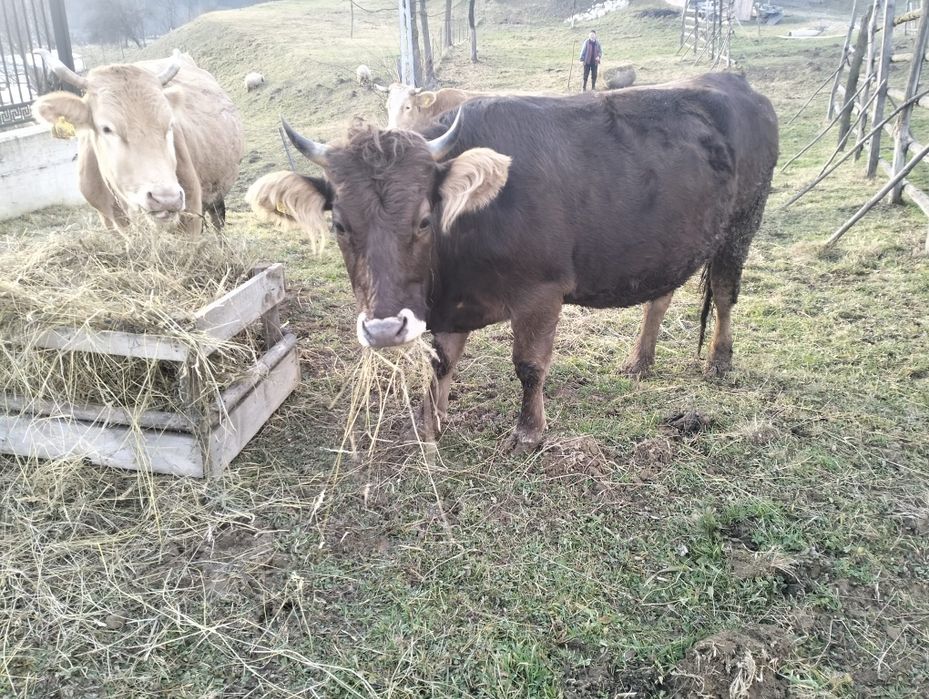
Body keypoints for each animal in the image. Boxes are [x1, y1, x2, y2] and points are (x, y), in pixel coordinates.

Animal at [33, 49, 244, 234]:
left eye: (170, 125)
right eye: (106, 128)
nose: (165, 199)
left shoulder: (191, 212)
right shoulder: (110, 220)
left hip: (216, 194)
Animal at [248, 73, 779, 450]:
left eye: (424, 218)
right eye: (339, 224)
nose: (383, 330)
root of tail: (737, 81)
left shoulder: (542, 293)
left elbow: (528, 365)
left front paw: (529, 431)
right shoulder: (448, 307)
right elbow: (441, 363)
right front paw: (432, 422)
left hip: (742, 223)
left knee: (725, 292)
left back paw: (719, 361)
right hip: (668, 242)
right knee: (660, 297)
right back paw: (639, 361)